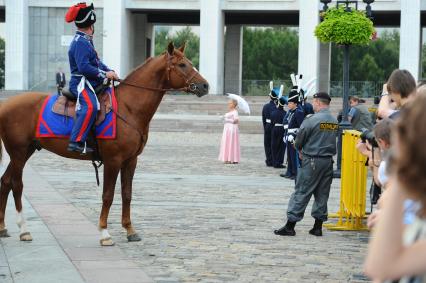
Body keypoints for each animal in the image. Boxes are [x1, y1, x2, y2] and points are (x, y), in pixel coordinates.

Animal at [0, 42, 208, 246]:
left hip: (26, 151)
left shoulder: (131, 161)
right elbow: (108, 195)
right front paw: (104, 233)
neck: (128, 108)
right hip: (18, 153)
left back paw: (3, 228)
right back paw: (24, 229)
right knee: (17, 185)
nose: (205, 86)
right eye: (182, 65)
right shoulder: (113, 161)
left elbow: (127, 194)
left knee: (6, 181)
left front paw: (130, 230)